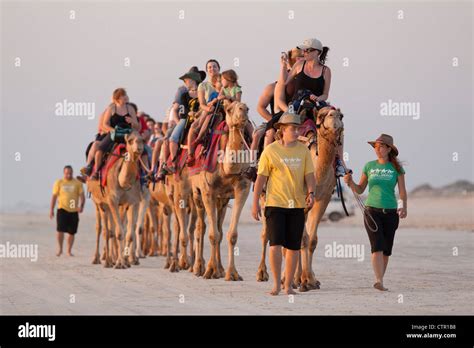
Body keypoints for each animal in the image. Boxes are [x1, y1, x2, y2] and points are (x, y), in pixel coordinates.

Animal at [192, 100, 254, 280]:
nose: (243, 112)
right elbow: (213, 234)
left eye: (247, 107)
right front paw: (209, 270)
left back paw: (219, 269)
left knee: (219, 227)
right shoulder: (207, 192)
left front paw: (231, 273)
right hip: (196, 193)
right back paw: (198, 267)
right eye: (229, 109)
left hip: (223, 199)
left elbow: (230, 235)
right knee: (200, 227)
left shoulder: (242, 188)